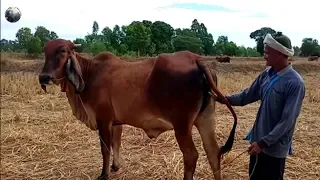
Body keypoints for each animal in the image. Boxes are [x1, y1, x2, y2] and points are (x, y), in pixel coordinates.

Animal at [38, 39, 236, 180]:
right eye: (45, 52)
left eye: (63, 51)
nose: (44, 77)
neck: (90, 73)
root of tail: (197, 59)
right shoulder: (116, 122)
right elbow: (116, 143)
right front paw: (115, 167)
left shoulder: (103, 119)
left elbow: (105, 149)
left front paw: (104, 174)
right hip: (205, 119)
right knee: (213, 152)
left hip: (182, 125)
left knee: (191, 156)